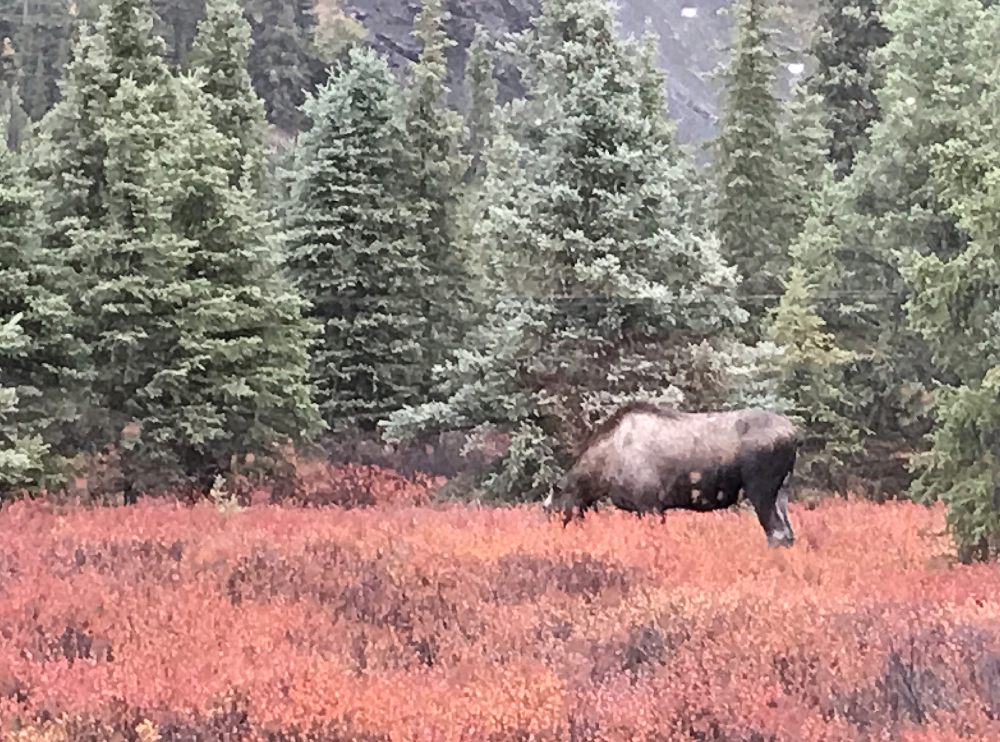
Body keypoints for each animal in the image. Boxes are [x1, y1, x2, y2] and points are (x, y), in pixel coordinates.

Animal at [544, 404, 800, 548]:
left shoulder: (650, 505)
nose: (550, 539)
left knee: (776, 533)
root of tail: (795, 434)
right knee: (788, 533)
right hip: (782, 491)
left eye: (551, 509)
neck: (602, 474)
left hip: (761, 488)